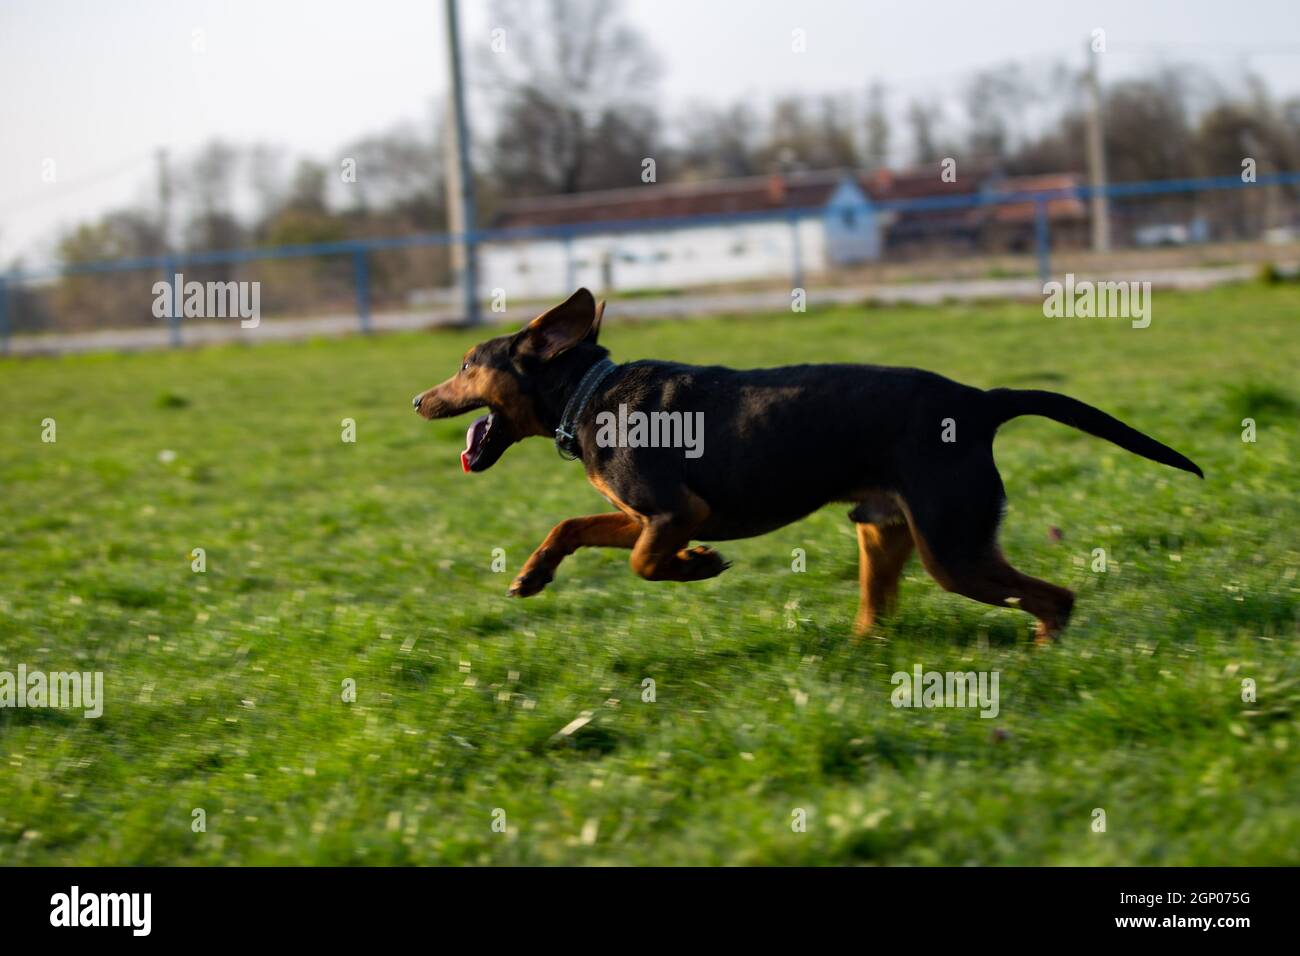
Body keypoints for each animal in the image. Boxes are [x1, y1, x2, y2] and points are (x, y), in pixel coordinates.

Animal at [410, 286, 1201, 642]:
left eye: (465, 365)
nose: (418, 398)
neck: (588, 394)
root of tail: (978, 403)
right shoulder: (641, 512)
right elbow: (571, 526)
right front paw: (532, 575)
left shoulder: (673, 510)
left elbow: (641, 562)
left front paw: (698, 566)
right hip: (885, 532)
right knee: (879, 616)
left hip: (953, 549)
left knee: (1056, 599)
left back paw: (1038, 655)